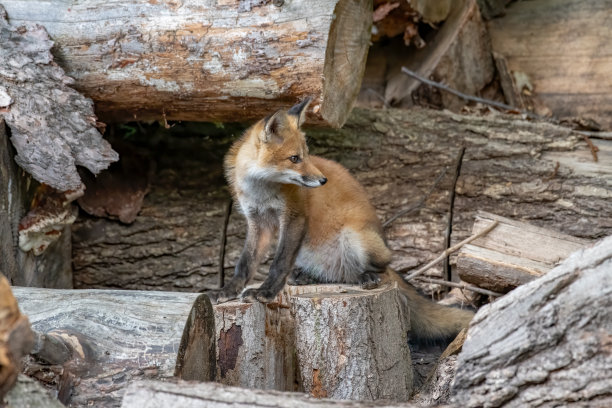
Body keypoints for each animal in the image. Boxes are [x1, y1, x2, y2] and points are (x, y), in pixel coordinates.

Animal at [206, 99, 474, 344]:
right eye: (294, 158)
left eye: (305, 155)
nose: (323, 180)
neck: (262, 190)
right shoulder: (257, 222)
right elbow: (245, 264)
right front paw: (228, 291)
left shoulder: (294, 217)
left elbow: (279, 263)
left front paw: (266, 292)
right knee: (335, 275)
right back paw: (307, 277)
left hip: (355, 238)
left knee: (374, 271)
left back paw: (366, 277)